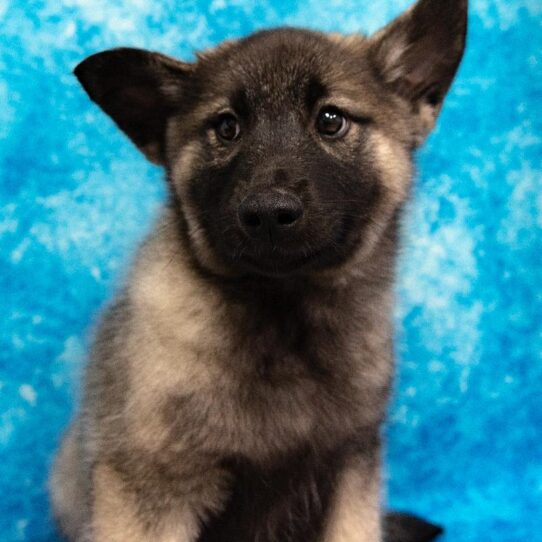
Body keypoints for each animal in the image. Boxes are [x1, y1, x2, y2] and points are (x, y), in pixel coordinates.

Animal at [50, 1, 468, 542]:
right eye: (227, 127)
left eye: (331, 119)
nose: (269, 213)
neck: (283, 314)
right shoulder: (149, 489)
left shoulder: (351, 473)